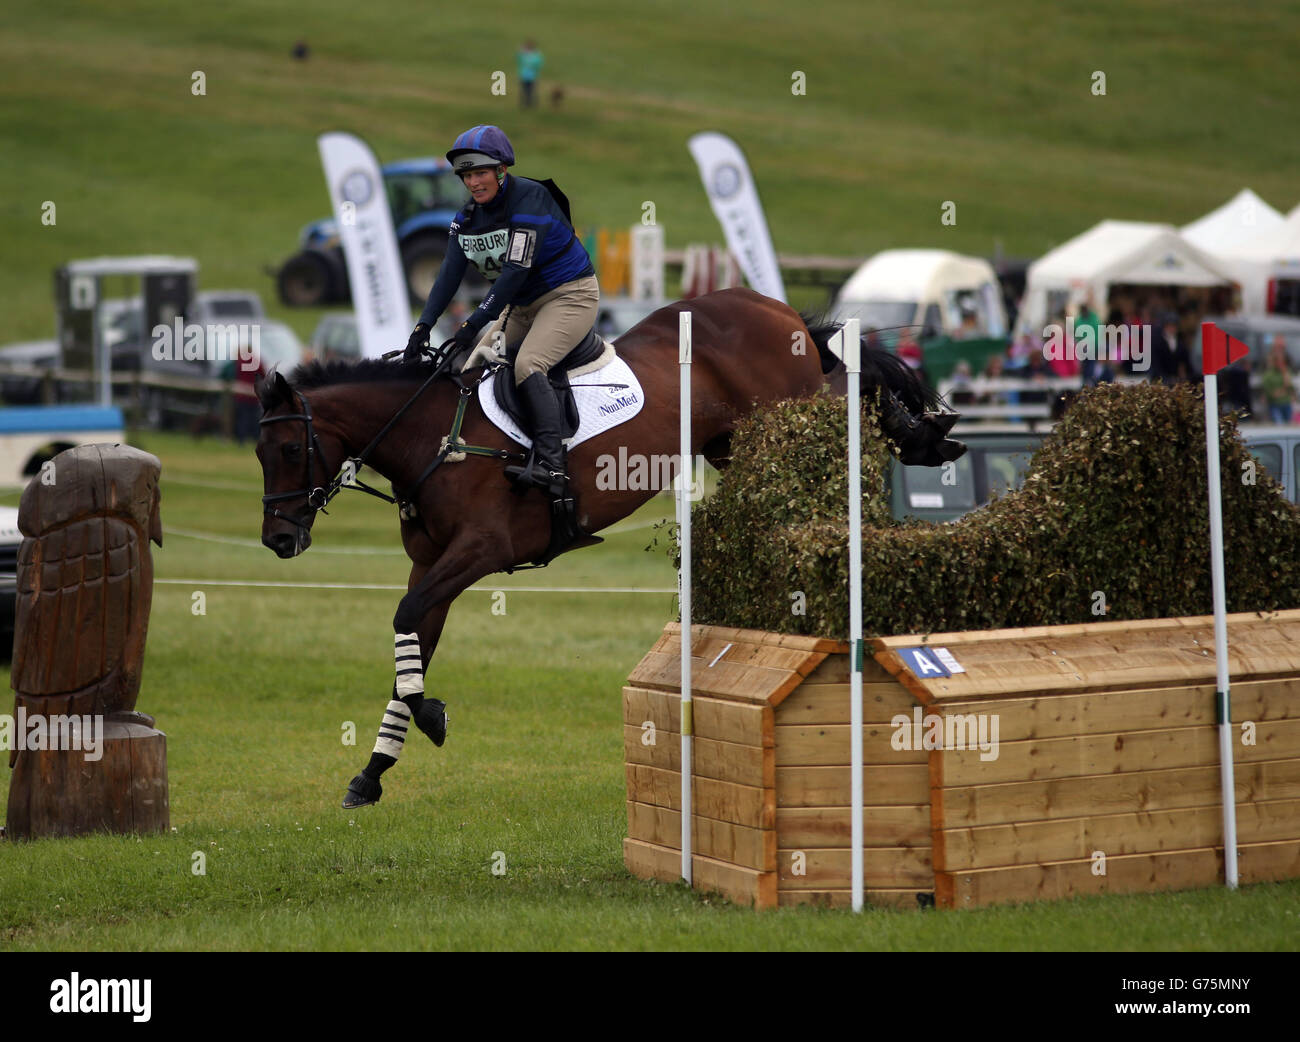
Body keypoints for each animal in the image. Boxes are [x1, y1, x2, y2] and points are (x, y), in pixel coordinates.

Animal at [256, 284, 967, 805]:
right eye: (261, 453)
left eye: (290, 449)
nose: (279, 540)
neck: (433, 437)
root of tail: (772, 305)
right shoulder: (430, 567)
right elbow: (411, 644)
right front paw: (374, 770)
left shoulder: (479, 552)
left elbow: (406, 622)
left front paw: (431, 718)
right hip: (732, 442)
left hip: (791, 409)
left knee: (852, 394)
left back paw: (923, 430)